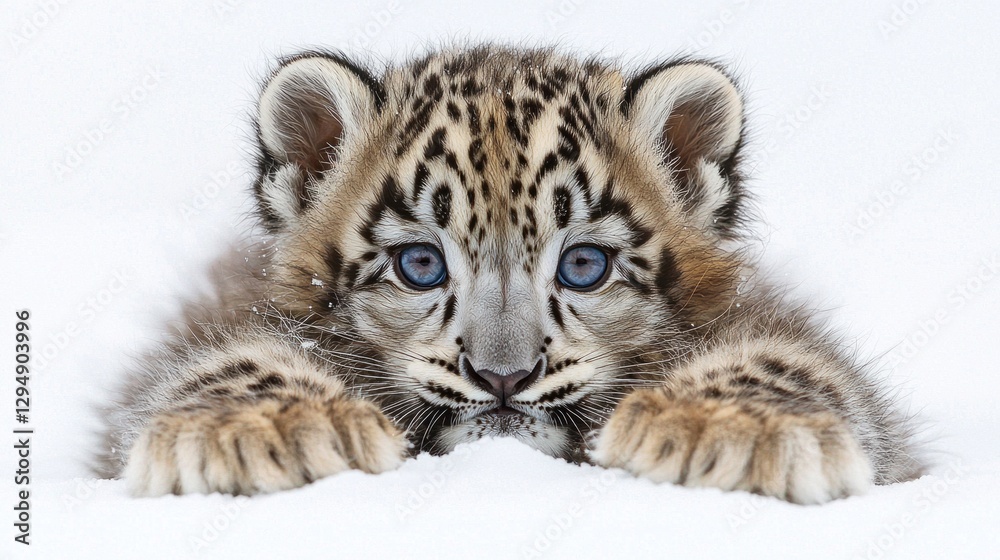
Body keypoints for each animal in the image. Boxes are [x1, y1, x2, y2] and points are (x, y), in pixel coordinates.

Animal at [102, 45, 922, 504]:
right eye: (420, 264)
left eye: (584, 265)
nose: (503, 375)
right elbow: (234, 359)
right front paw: (264, 429)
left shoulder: (774, 325)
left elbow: (785, 358)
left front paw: (726, 431)